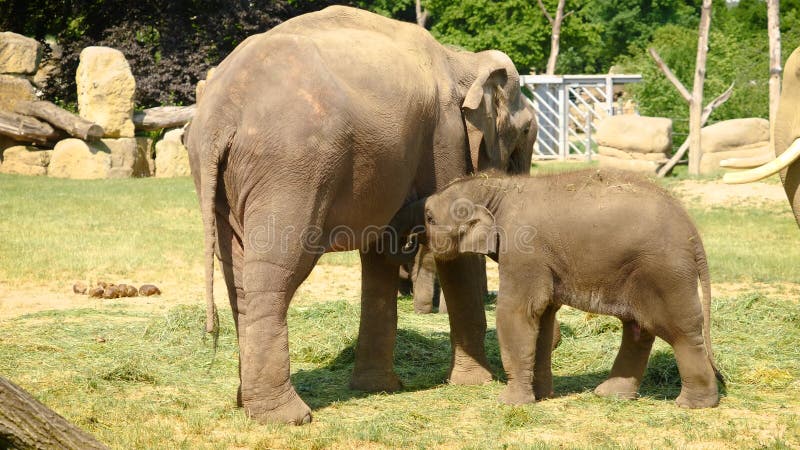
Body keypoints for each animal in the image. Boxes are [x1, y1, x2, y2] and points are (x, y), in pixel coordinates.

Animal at [186, 4, 536, 426]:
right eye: (526, 132)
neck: (458, 58)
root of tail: (222, 112)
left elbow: (380, 253)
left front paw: (378, 388)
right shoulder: (444, 134)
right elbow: (455, 256)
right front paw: (476, 384)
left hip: (223, 179)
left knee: (237, 273)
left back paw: (247, 404)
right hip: (290, 170)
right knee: (276, 270)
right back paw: (288, 417)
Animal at [424, 169, 724, 408]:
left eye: (428, 218)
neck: (498, 188)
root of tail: (693, 233)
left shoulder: (524, 251)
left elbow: (517, 312)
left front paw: (510, 403)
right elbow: (543, 316)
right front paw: (542, 396)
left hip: (665, 273)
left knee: (679, 331)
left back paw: (693, 405)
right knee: (638, 328)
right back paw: (610, 395)